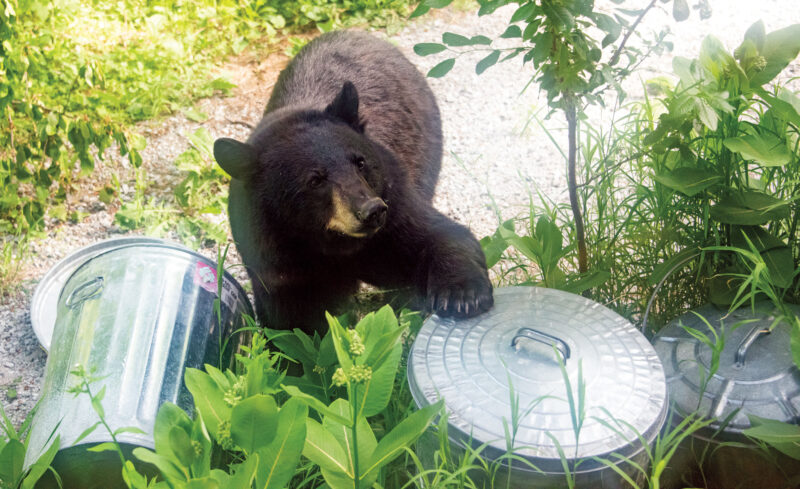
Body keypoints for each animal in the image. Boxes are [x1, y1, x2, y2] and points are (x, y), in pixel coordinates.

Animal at [213, 30, 493, 334]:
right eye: (315, 180)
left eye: (360, 162)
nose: (371, 210)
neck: (331, 243)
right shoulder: (273, 256)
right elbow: (292, 322)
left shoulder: (393, 203)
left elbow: (438, 234)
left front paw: (462, 295)